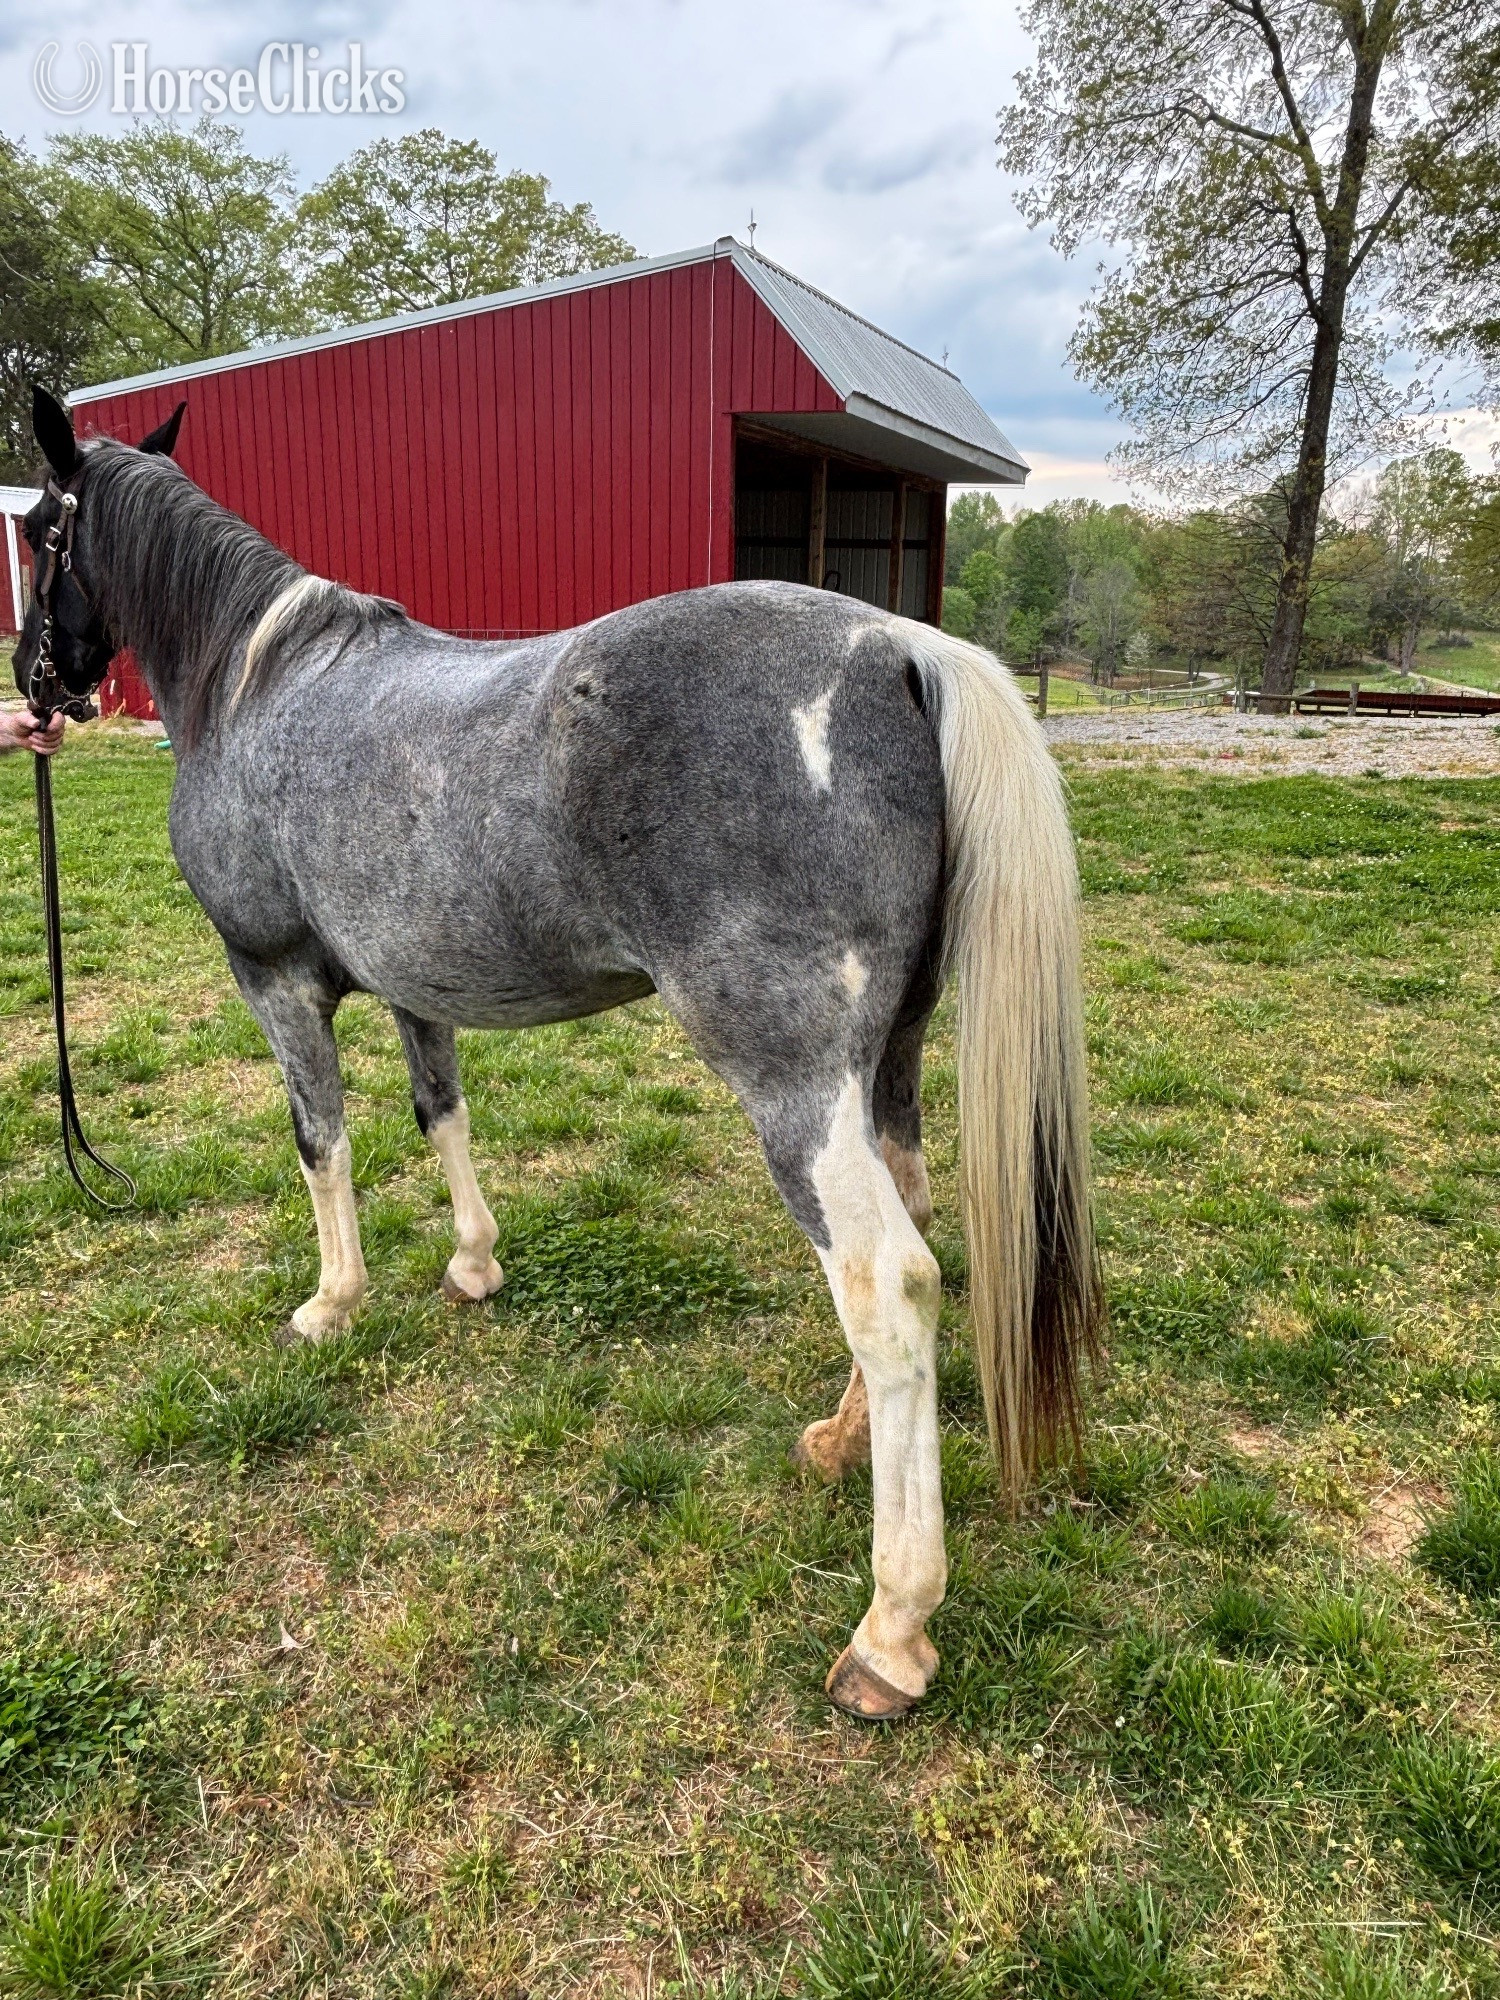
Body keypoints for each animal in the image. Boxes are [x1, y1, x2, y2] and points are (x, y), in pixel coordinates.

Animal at [16, 384, 1101, 1721]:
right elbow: (440, 1112)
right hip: (881, 1069)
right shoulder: (415, 985)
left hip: (796, 1089)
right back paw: (838, 1444)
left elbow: (321, 1141)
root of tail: (900, 648)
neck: (256, 685)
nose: (34, 683)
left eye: (38, 531)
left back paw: (891, 1632)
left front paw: (331, 1303)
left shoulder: (273, 979)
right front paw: (474, 1264)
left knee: (887, 1284)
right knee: (912, 1231)